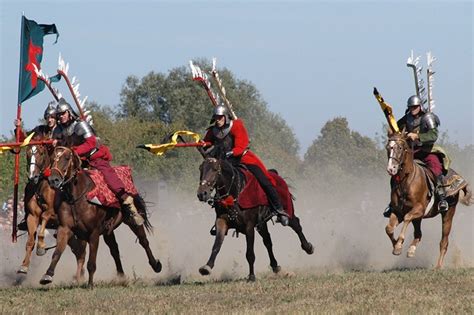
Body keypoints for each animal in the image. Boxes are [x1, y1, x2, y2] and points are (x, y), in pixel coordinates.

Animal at [39, 147, 161, 288]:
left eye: (66, 158)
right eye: (52, 158)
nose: (53, 180)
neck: (76, 197)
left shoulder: (94, 233)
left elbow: (91, 262)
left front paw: (90, 284)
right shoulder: (65, 229)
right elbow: (57, 252)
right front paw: (47, 275)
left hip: (131, 221)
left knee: (143, 241)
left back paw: (156, 265)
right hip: (108, 230)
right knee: (114, 250)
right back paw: (121, 276)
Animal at [384, 131, 472, 270]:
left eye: (400, 147)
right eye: (388, 147)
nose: (391, 169)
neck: (406, 181)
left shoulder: (419, 209)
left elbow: (407, 218)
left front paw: (398, 244)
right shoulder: (398, 212)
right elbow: (389, 228)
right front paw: (396, 247)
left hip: (448, 213)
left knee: (444, 241)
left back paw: (438, 266)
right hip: (419, 218)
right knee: (418, 234)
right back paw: (411, 249)